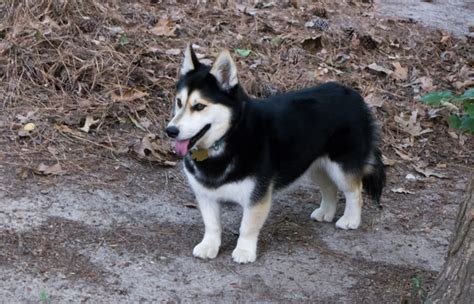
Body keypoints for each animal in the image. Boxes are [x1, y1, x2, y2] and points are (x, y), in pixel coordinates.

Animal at [166, 45, 386, 264]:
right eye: (179, 102)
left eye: (199, 106)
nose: (170, 131)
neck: (229, 136)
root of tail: (355, 96)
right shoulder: (205, 194)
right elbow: (211, 225)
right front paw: (209, 246)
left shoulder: (257, 196)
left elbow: (247, 226)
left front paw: (244, 251)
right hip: (313, 164)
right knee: (329, 187)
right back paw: (326, 212)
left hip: (341, 165)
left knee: (354, 191)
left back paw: (350, 219)